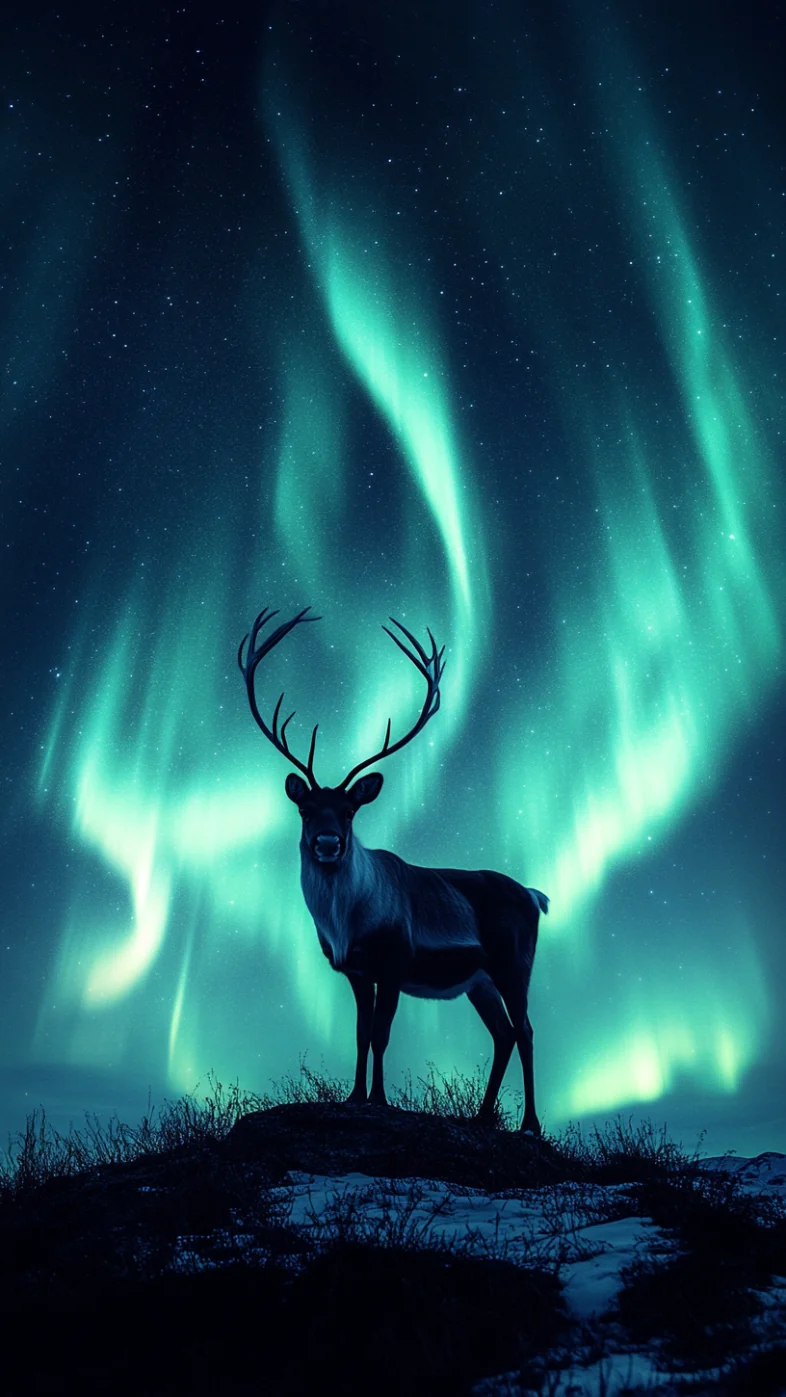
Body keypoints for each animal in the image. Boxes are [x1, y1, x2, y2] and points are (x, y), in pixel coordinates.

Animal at [238, 606, 548, 1134]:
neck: (345, 923)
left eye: (349, 812)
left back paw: (529, 1124)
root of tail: (535, 895)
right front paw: (353, 1097)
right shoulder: (353, 970)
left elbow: (382, 1033)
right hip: (478, 980)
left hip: (513, 961)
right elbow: (361, 1033)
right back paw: (482, 1117)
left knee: (525, 1029)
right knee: (503, 1033)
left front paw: (380, 1100)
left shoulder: (394, 960)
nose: (327, 843)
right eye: (305, 810)